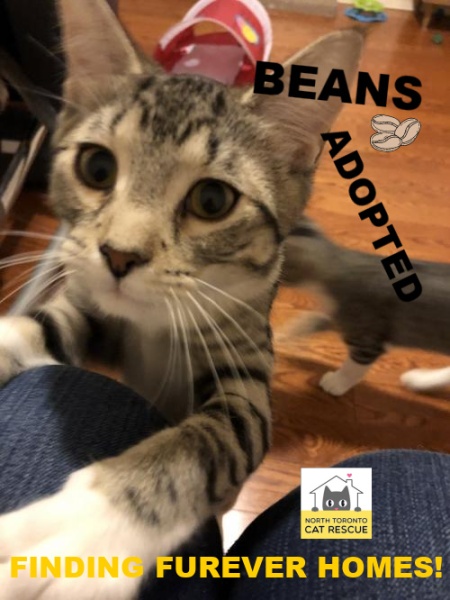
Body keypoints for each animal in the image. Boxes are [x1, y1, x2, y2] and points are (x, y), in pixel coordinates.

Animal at [0, 1, 364, 597]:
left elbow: (211, 439)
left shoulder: (247, 362)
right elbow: (41, 325)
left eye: (212, 200)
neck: (152, 326)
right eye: (97, 167)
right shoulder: (89, 307)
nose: (119, 255)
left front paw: (85, 529)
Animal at [280, 217, 450, 396]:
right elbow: (315, 319)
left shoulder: (367, 339)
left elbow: (353, 368)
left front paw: (336, 383)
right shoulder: (341, 318)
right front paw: (289, 333)